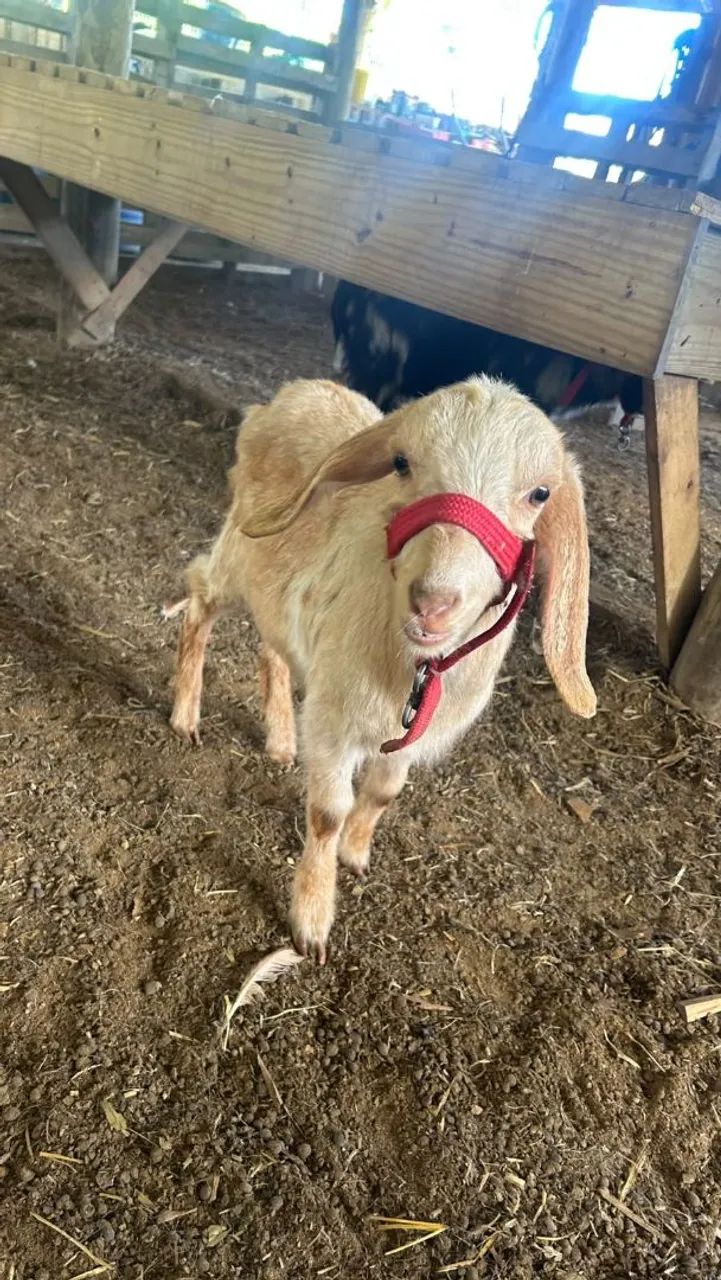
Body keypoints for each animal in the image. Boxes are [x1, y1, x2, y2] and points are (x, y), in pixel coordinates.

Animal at [169, 376, 596, 962]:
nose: (433, 602)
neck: (415, 669)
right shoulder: (334, 719)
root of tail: (293, 393)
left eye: (540, 494)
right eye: (400, 462)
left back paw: (280, 740)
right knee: (199, 599)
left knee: (273, 645)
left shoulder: (410, 738)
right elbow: (327, 813)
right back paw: (186, 715)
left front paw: (355, 854)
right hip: (238, 550)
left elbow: (384, 792)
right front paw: (312, 921)